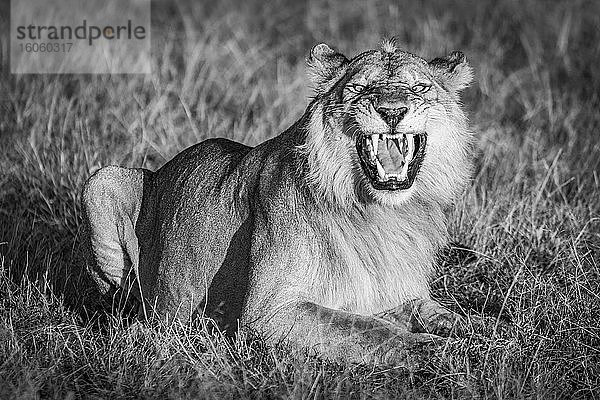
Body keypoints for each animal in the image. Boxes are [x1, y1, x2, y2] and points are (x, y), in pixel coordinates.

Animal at [81, 38, 474, 366]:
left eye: (419, 88)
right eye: (359, 89)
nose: (392, 111)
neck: (382, 213)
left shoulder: (394, 291)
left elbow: (438, 312)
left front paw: (471, 329)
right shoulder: (270, 312)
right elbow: (366, 330)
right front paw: (431, 349)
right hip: (102, 181)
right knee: (122, 308)